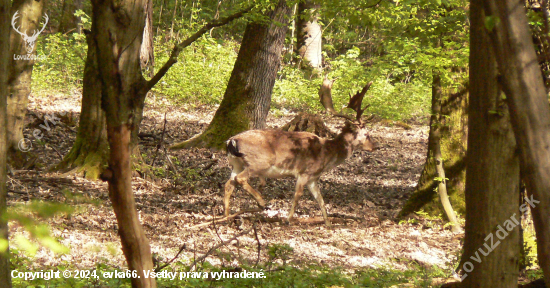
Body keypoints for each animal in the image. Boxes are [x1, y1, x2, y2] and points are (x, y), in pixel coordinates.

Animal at [224, 81, 380, 225]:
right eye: (367, 134)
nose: (376, 146)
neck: (326, 154)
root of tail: (231, 141)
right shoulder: (304, 172)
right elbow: (297, 195)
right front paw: (288, 219)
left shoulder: (313, 178)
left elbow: (320, 199)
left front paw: (328, 223)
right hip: (258, 162)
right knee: (240, 179)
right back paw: (261, 202)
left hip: (236, 163)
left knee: (229, 184)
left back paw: (226, 217)